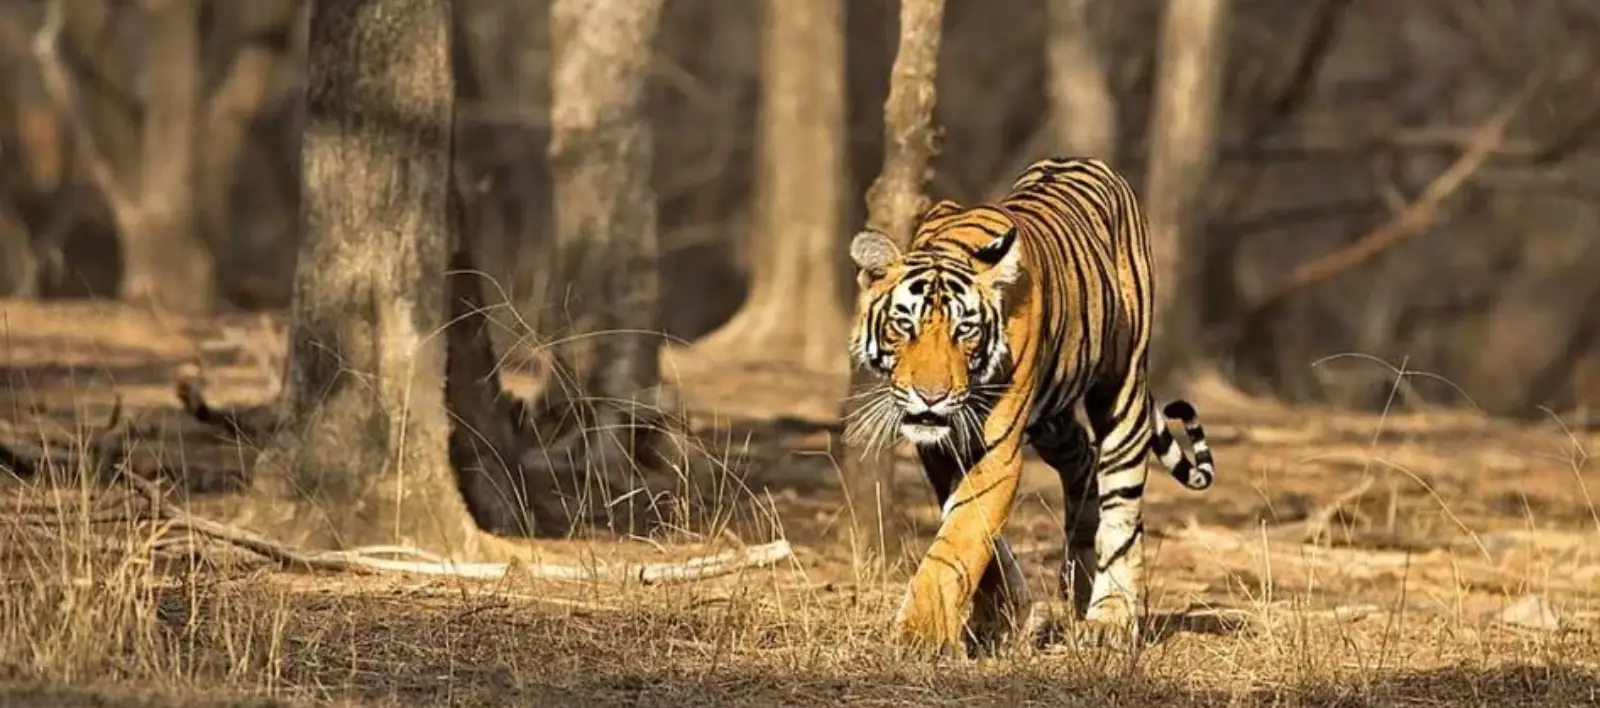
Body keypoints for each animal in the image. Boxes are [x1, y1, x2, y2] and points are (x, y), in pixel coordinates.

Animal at [845, 156, 1217, 656]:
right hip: (1053, 421)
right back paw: (1079, 581)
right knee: (1082, 461)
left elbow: (961, 536)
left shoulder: (998, 451)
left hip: (1121, 389)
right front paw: (1006, 618)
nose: (932, 395)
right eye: (905, 325)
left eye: (965, 330)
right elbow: (975, 536)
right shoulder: (941, 448)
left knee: (1120, 503)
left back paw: (1111, 617)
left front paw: (922, 634)